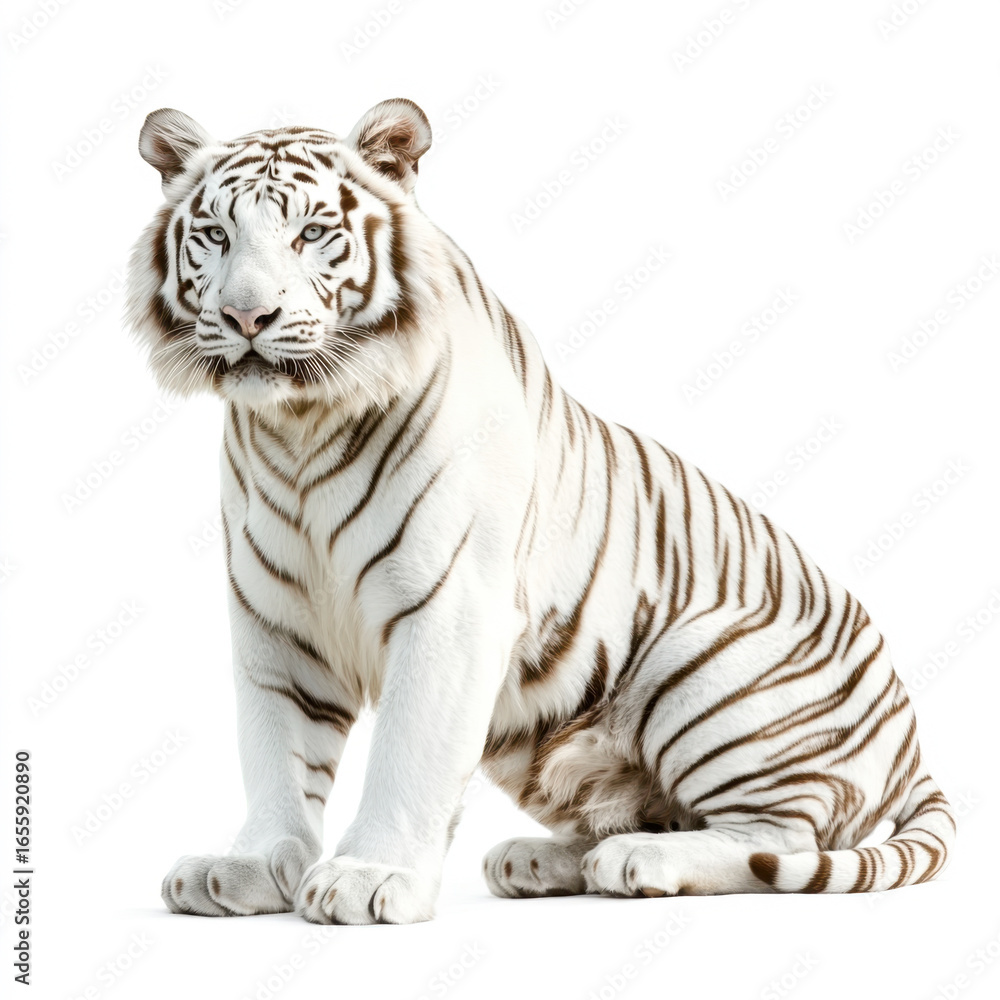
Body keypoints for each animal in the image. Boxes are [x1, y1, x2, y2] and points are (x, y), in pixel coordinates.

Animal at [125, 98, 955, 925]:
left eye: (312, 234)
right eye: (216, 235)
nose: (247, 317)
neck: (299, 426)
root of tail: (913, 740)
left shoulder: (448, 607)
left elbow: (407, 753)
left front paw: (367, 875)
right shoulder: (274, 617)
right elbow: (277, 754)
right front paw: (249, 865)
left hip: (708, 669)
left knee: (774, 841)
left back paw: (637, 861)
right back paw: (544, 859)